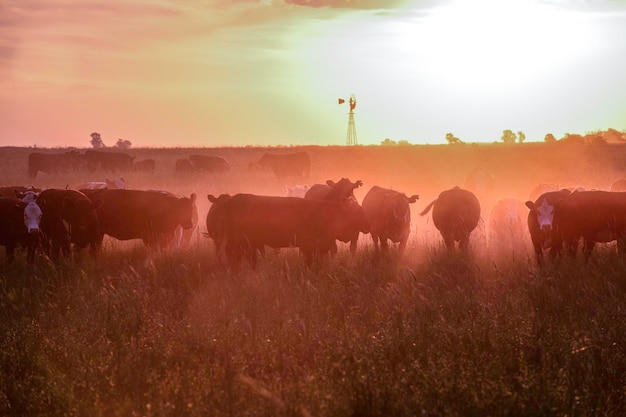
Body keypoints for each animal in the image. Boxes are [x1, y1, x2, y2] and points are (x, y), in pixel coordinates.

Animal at [221, 194, 368, 268]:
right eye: (356, 213)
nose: (368, 224)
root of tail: (236, 198)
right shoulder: (309, 247)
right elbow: (309, 262)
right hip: (244, 243)